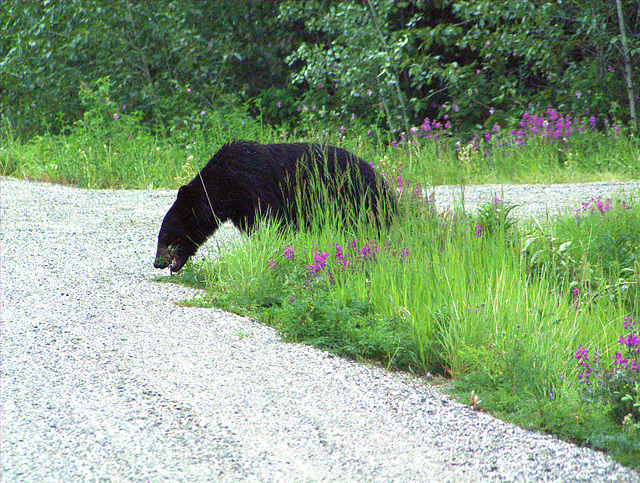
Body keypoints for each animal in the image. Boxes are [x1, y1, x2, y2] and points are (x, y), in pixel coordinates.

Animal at [154, 141, 396, 272]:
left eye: (165, 236)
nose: (157, 262)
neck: (225, 185)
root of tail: (386, 185)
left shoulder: (255, 187)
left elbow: (272, 222)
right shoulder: (241, 209)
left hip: (359, 203)